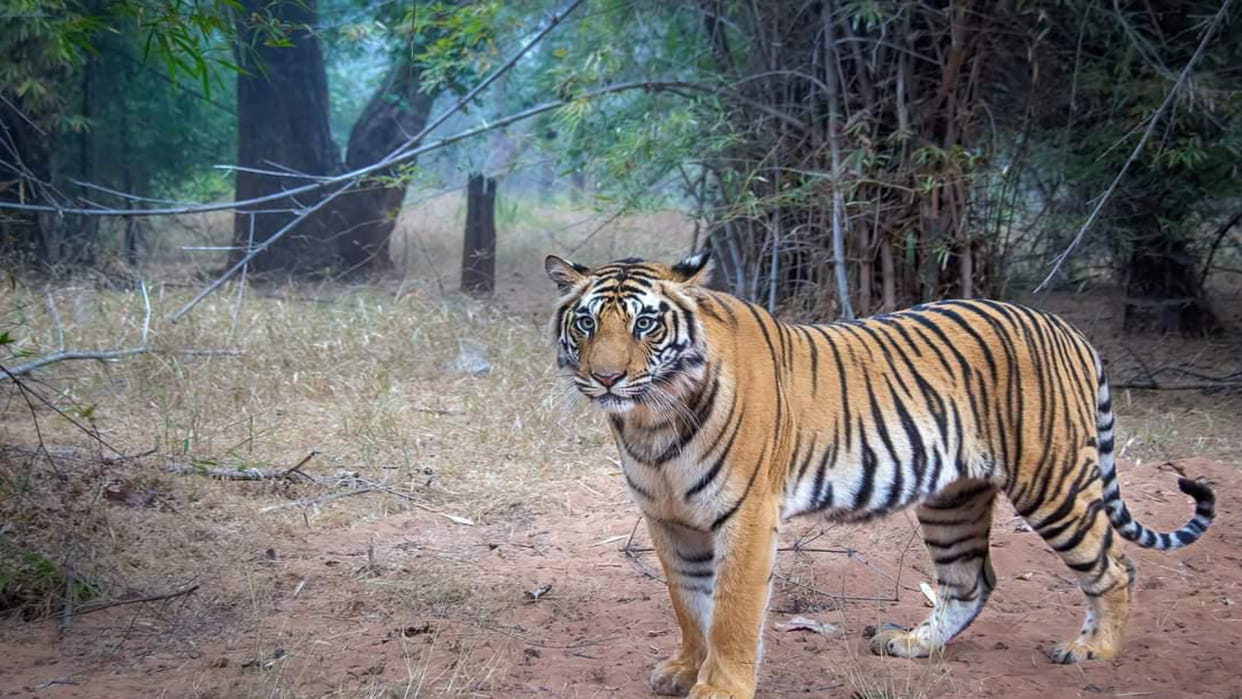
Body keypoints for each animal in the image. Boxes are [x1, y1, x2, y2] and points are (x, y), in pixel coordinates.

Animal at [544, 252, 1216, 699]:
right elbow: (689, 604)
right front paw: (686, 669)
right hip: (953, 499)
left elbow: (731, 612)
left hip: (1052, 482)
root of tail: (1067, 328)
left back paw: (1092, 649)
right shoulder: (670, 521)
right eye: (587, 323)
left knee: (1115, 567)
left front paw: (720, 687)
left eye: (645, 324)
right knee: (970, 581)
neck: (651, 420)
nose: (606, 377)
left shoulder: (747, 516)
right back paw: (913, 645)